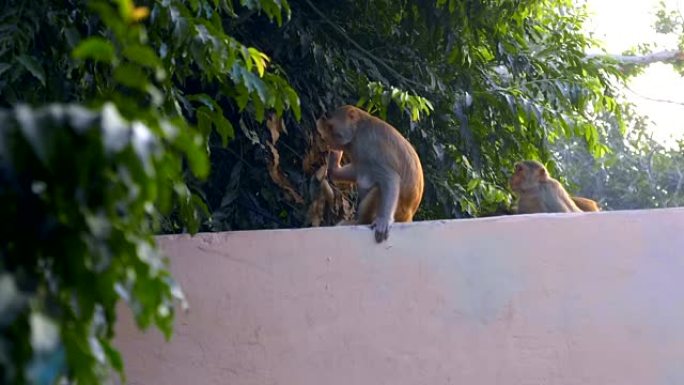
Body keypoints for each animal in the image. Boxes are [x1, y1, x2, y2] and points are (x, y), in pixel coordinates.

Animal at [316, 104, 422, 243]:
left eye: (331, 126)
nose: (326, 139)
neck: (357, 132)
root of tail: (409, 216)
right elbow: (350, 171)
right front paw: (335, 157)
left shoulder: (369, 146)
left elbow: (390, 178)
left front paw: (384, 221)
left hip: (399, 211)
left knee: (377, 188)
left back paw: (360, 221)